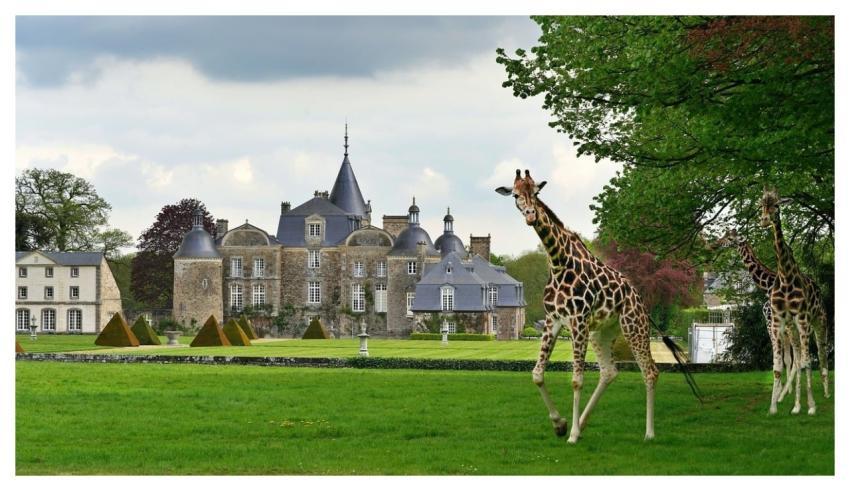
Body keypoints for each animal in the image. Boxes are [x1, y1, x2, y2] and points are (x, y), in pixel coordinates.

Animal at [496, 169, 699, 443]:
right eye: (515, 195)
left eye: (536, 193)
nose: (530, 215)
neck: (558, 262)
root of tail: (640, 301)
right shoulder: (553, 320)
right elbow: (537, 374)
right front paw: (560, 424)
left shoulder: (578, 320)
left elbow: (576, 380)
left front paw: (571, 434)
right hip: (602, 331)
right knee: (609, 371)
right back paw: (582, 423)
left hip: (633, 326)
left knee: (650, 372)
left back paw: (648, 433)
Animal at [715, 229, 800, 410]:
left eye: (730, 238)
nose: (717, 243)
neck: (768, 286)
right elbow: (785, 359)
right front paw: (784, 392)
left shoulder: (771, 324)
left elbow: (777, 362)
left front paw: (777, 396)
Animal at [760, 188, 830, 415]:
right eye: (761, 205)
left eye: (777, 205)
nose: (764, 220)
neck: (785, 276)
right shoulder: (780, 321)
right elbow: (778, 367)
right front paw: (774, 407)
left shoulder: (802, 318)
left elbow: (807, 362)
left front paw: (811, 407)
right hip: (794, 329)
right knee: (798, 359)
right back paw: (797, 404)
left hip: (818, 322)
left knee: (821, 354)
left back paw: (826, 394)